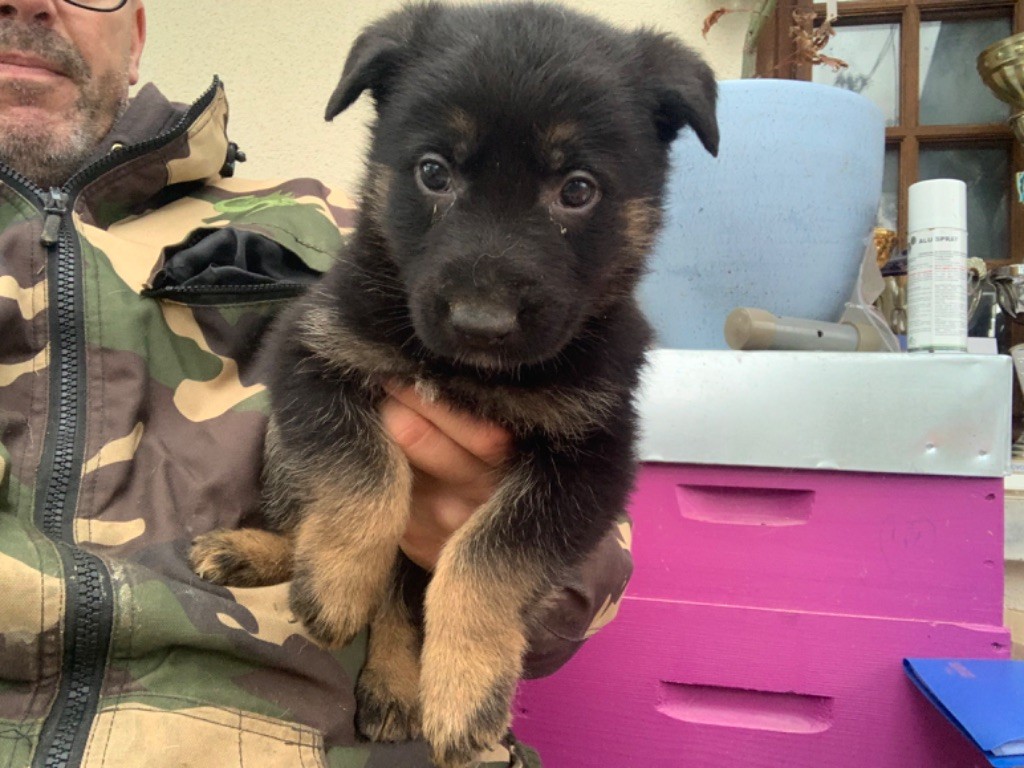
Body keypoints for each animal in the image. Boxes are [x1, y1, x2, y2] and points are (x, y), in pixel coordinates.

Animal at [193, 3, 720, 765]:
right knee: (322, 529)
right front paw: (340, 578)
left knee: (407, 592)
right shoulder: (312, 354)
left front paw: (466, 684)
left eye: (578, 190)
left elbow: (487, 553)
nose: (481, 323)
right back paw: (265, 554)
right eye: (434, 173)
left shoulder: (590, 458)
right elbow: (365, 471)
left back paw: (395, 683)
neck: (463, 373)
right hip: (284, 447)